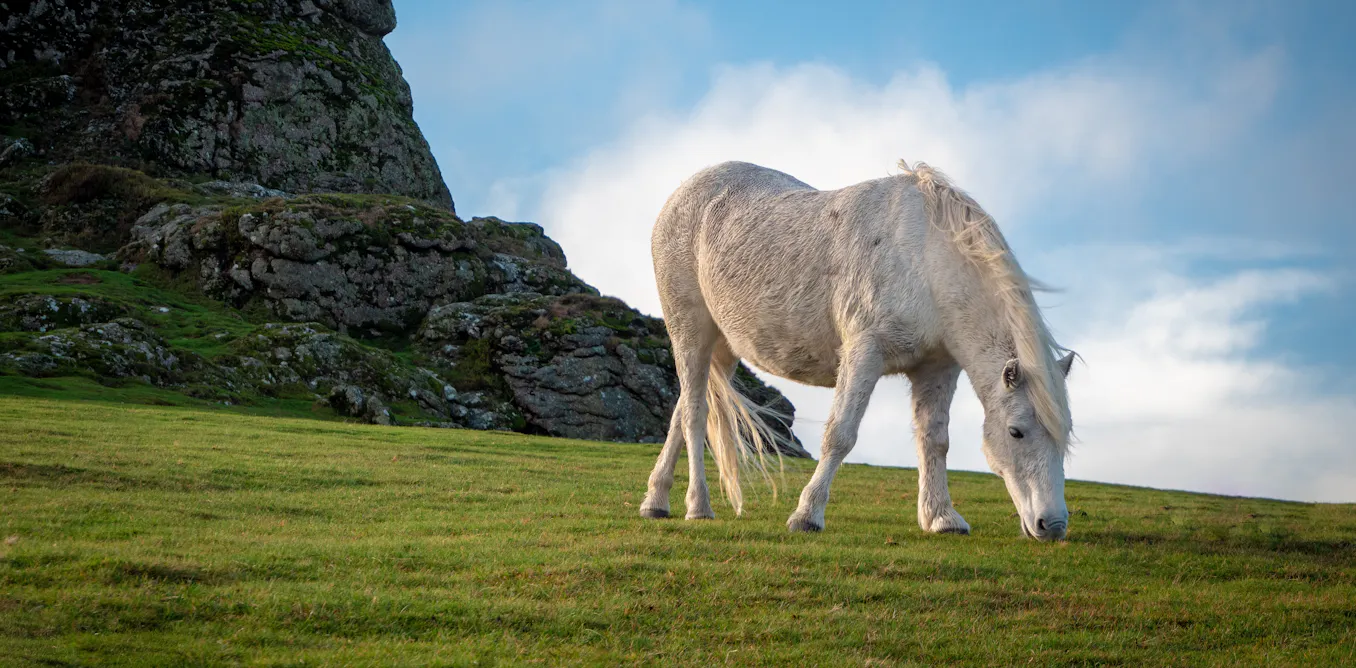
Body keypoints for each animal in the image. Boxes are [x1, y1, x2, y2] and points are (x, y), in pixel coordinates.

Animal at [638, 160, 1076, 540]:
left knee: (682, 410)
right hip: (690, 331)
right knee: (695, 415)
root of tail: (685, 192)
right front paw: (807, 514)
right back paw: (698, 506)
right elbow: (841, 435)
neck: (924, 258)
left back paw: (656, 501)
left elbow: (935, 440)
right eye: (1016, 432)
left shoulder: (937, 369)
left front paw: (941, 517)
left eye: (1065, 437)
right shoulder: (864, 353)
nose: (1052, 526)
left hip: (724, 346)